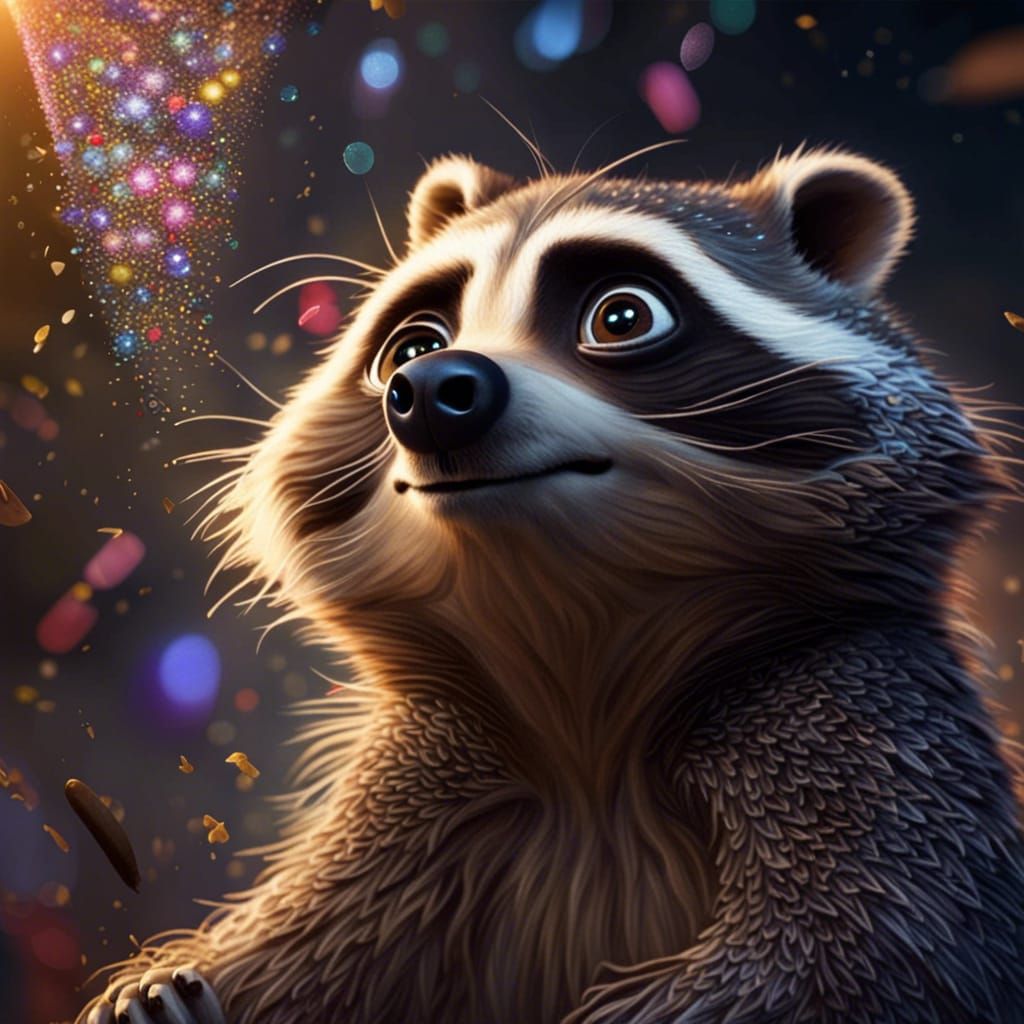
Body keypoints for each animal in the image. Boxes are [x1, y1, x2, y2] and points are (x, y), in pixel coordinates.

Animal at [82, 147, 1024, 1024]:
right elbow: (317, 936)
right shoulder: (432, 766)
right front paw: (179, 985)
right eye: (414, 343)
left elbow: (862, 952)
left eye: (622, 315)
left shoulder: (847, 713)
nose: (431, 390)